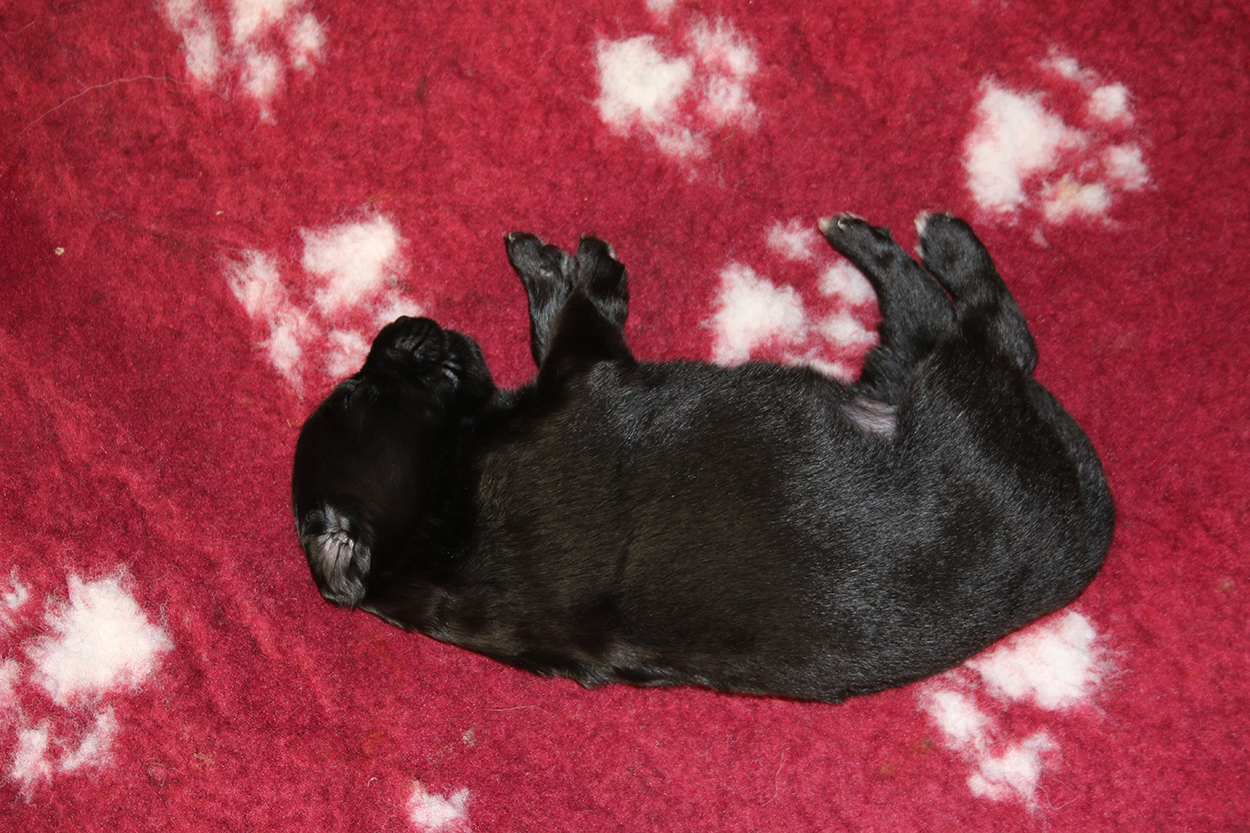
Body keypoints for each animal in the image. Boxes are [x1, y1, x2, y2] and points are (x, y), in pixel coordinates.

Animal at [291, 214, 1114, 703]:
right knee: (993, 328)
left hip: (902, 376)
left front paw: (542, 262)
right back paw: (930, 240)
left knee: (930, 325)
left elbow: (556, 316)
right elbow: (577, 322)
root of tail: (1080, 540)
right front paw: (584, 269)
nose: (397, 324)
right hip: (963, 396)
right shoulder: (584, 375)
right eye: (355, 390)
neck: (427, 525)